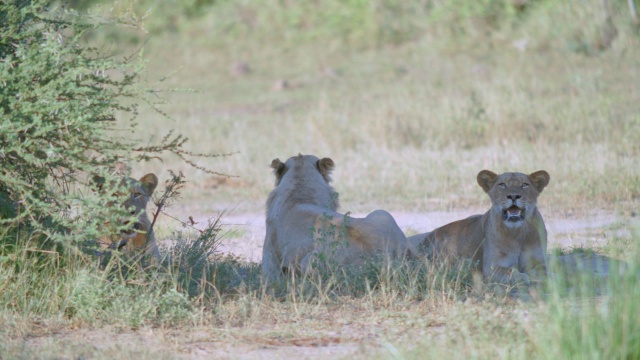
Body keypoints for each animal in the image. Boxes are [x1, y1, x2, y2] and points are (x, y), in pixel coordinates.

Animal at [410, 169, 552, 290]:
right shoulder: (491, 267)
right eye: (502, 185)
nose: (513, 196)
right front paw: (522, 277)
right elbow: (510, 271)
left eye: (524, 185)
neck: (517, 233)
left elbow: (544, 271)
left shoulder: (538, 260)